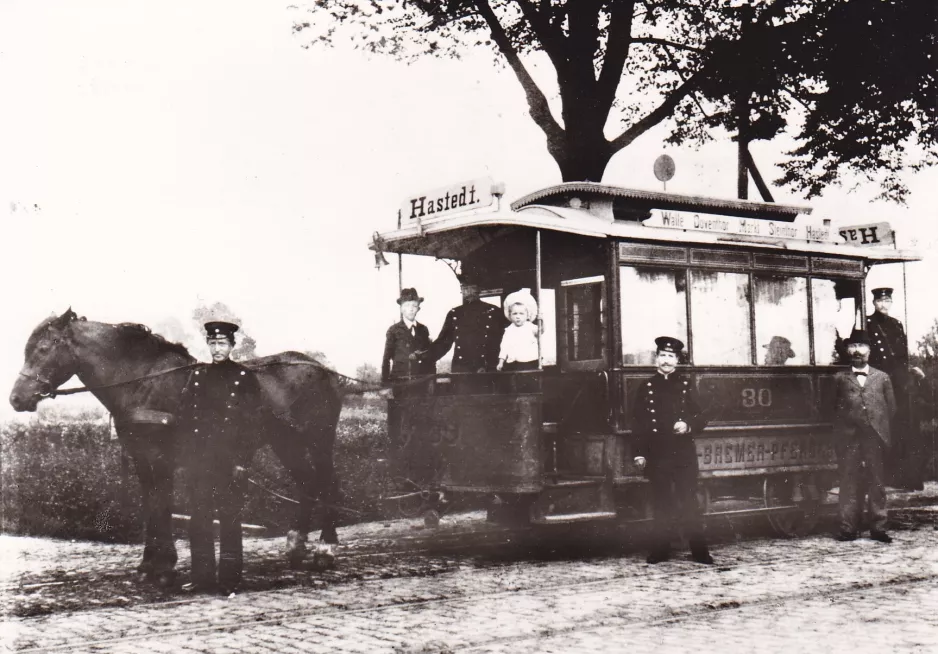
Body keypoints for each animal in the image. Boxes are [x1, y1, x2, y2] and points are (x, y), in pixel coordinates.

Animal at [8, 310, 344, 588]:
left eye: (44, 347)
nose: (16, 399)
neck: (143, 383)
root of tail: (320, 368)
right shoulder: (141, 458)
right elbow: (151, 505)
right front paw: (149, 565)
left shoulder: (160, 458)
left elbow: (162, 504)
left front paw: (164, 567)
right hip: (286, 443)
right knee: (307, 483)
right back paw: (296, 546)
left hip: (319, 441)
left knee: (326, 484)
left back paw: (325, 549)